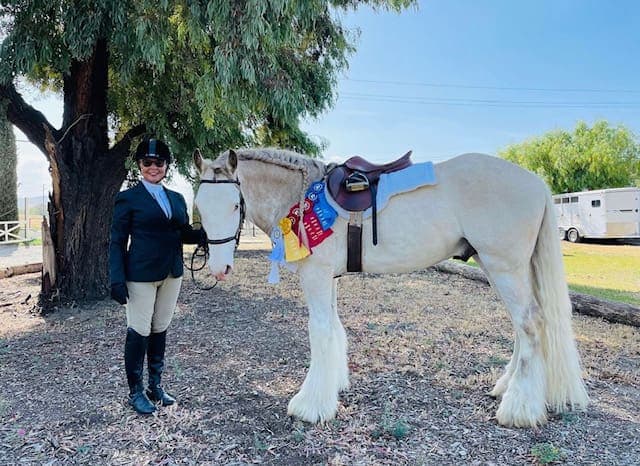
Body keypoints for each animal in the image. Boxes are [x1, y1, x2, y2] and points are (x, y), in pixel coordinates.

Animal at [193, 147, 589, 428]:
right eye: (198, 206)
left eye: (234, 205)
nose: (219, 268)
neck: (302, 194)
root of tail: (534, 181)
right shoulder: (328, 279)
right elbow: (334, 330)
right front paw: (334, 385)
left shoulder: (316, 276)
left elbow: (319, 333)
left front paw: (310, 405)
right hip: (501, 269)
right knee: (523, 328)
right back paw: (508, 387)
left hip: (504, 267)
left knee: (530, 325)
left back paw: (519, 409)